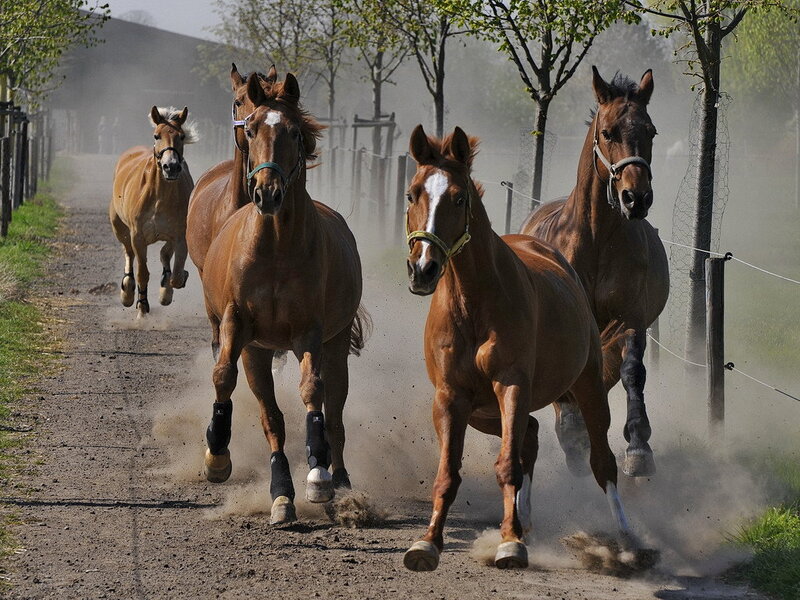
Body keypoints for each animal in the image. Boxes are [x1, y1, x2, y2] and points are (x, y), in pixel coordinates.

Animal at [110, 106, 197, 317]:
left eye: (181, 136)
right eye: (157, 136)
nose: (171, 166)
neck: (160, 196)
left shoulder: (179, 235)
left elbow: (176, 273)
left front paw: (169, 287)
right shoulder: (138, 236)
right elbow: (142, 272)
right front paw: (141, 307)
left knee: (165, 254)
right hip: (118, 226)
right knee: (128, 252)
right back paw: (127, 290)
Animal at [198, 72, 369, 525]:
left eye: (293, 131)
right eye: (252, 128)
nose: (266, 193)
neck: (274, 249)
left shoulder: (309, 333)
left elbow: (313, 393)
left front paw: (318, 476)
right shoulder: (241, 332)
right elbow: (232, 385)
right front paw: (220, 457)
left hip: (336, 345)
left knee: (336, 415)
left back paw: (340, 480)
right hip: (259, 350)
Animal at [402, 125, 641, 571]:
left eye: (458, 198)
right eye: (412, 194)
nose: (423, 269)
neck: (474, 303)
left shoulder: (511, 385)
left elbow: (508, 465)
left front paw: (510, 543)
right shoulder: (451, 398)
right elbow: (449, 473)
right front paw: (427, 543)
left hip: (586, 388)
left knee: (601, 462)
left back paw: (626, 539)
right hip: (483, 414)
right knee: (529, 434)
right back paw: (525, 517)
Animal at [520, 67, 669, 478]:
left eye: (651, 131)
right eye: (608, 132)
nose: (637, 198)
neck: (597, 240)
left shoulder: (630, 316)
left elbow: (633, 371)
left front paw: (639, 449)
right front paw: (574, 438)